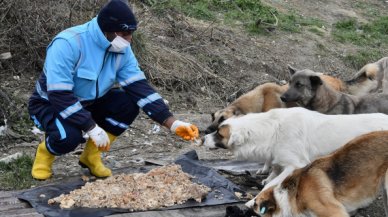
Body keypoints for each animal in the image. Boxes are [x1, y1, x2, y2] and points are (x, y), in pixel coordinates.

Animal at [202, 107, 388, 192]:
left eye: (219, 134)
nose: (203, 138)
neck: (273, 130)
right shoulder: (278, 156)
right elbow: (275, 169)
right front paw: (268, 177)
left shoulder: (295, 165)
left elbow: (277, 181)